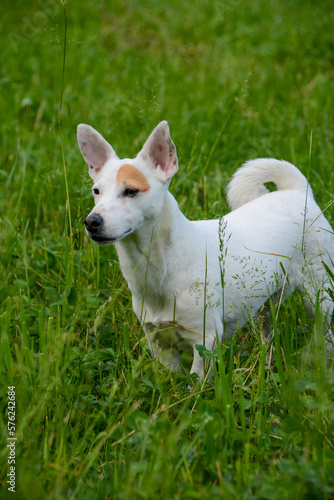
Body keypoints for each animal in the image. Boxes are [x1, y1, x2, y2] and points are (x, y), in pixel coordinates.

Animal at [77, 120, 332, 378]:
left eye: (130, 191)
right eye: (96, 191)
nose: (91, 221)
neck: (161, 265)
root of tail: (297, 192)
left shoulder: (206, 340)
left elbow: (196, 381)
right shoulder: (160, 344)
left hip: (319, 296)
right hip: (264, 304)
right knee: (268, 333)